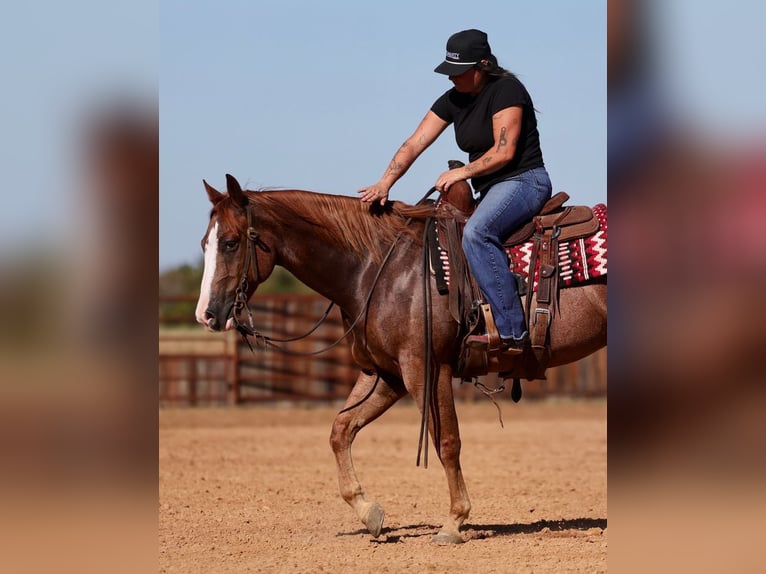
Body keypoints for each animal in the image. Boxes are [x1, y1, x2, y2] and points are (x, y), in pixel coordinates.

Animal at [195, 174, 607, 544]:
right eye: (204, 243)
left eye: (230, 243)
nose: (206, 314)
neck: (379, 269)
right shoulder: (384, 374)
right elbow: (340, 430)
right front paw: (369, 513)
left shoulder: (425, 369)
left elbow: (447, 441)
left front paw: (454, 522)